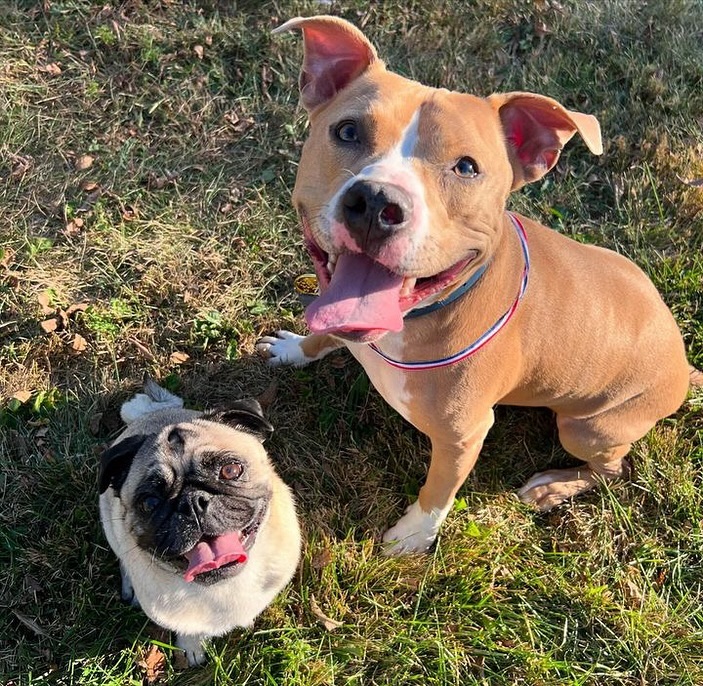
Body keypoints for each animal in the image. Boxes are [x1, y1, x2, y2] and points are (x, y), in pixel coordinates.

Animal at [256, 14, 696, 552]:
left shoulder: (464, 435)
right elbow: (325, 333)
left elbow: (437, 491)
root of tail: (684, 366)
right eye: (347, 130)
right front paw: (295, 348)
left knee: (614, 468)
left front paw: (411, 536)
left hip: (588, 427)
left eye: (466, 167)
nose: (377, 202)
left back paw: (553, 487)